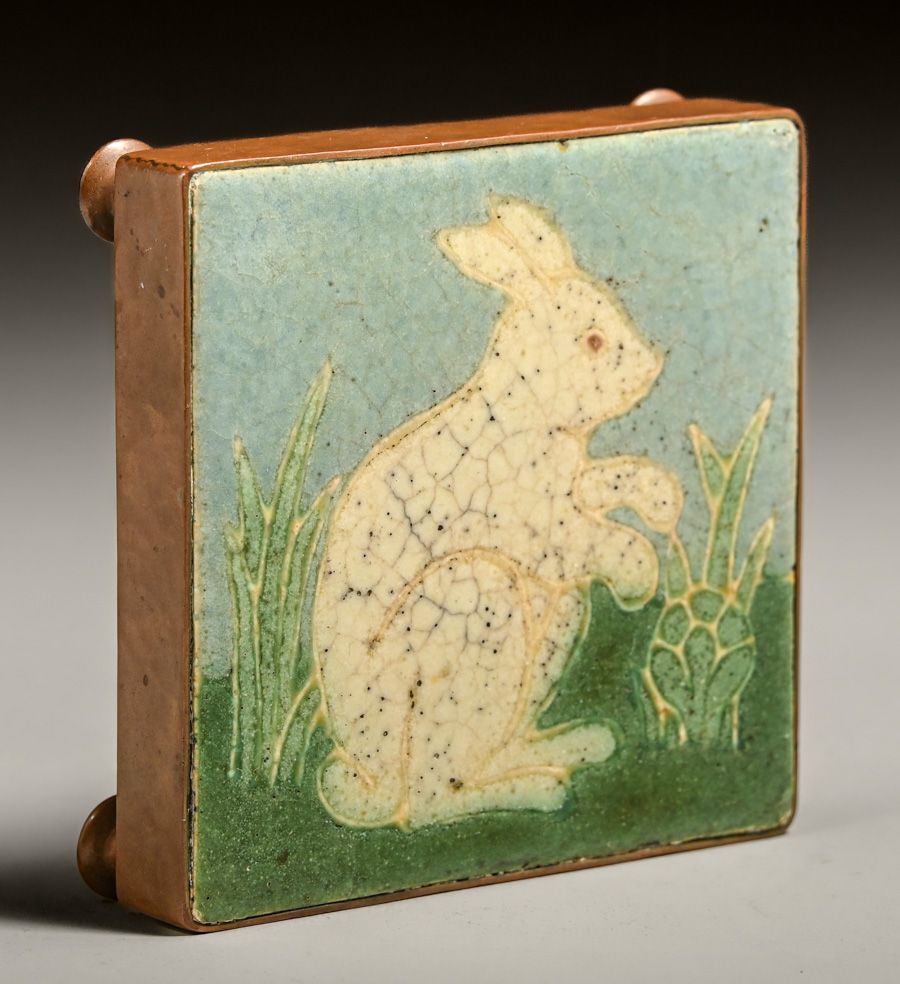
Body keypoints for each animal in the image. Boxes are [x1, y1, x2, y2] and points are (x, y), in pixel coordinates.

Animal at [312, 196, 683, 829]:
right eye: (593, 342)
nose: (653, 366)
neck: (527, 407)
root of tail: (373, 783)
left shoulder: (570, 488)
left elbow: (602, 483)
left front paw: (660, 497)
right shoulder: (537, 525)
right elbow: (586, 538)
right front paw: (638, 573)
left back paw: (572, 749)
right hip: (473, 607)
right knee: (431, 801)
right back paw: (537, 793)